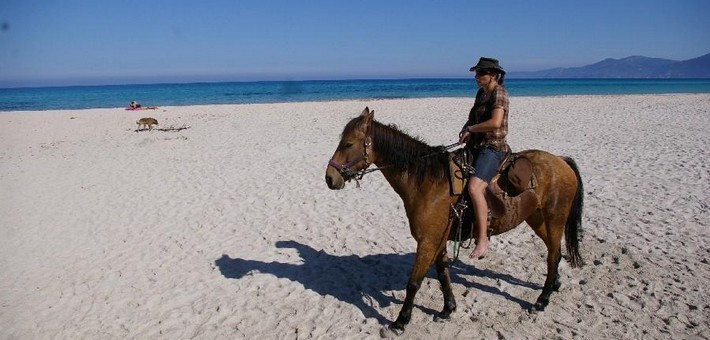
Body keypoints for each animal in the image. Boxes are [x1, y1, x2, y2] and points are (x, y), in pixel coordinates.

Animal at [326, 107, 588, 332]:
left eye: (348, 143)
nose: (329, 178)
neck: (428, 182)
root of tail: (561, 160)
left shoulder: (427, 242)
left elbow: (414, 282)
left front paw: (401, 321)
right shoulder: (438, 241)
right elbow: (443, 274)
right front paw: (447, 309)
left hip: (554, 220)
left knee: (553, 256)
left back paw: (542, 300)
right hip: (538, 220)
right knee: (555, 254)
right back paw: (554, 285)